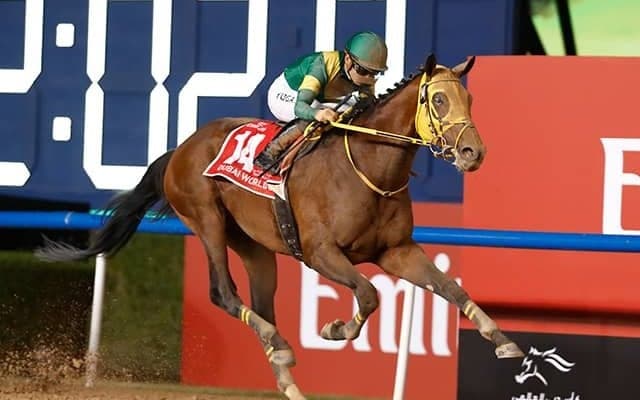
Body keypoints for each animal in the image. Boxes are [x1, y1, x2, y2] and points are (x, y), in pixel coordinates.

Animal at [37, 54, 524, 399]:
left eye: (470, 101)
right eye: (438, 100)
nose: (473, 153)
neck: (369, 167)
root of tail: (181, 147)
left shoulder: (398, 251)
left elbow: (451, 288)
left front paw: (502, 340)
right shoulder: (321, 253)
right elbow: (369, 294)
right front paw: (335, 330)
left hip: (255, 246)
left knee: (260, 303)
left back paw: (286, 374)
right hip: (206, 219)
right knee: (223, 293)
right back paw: (280, 344)